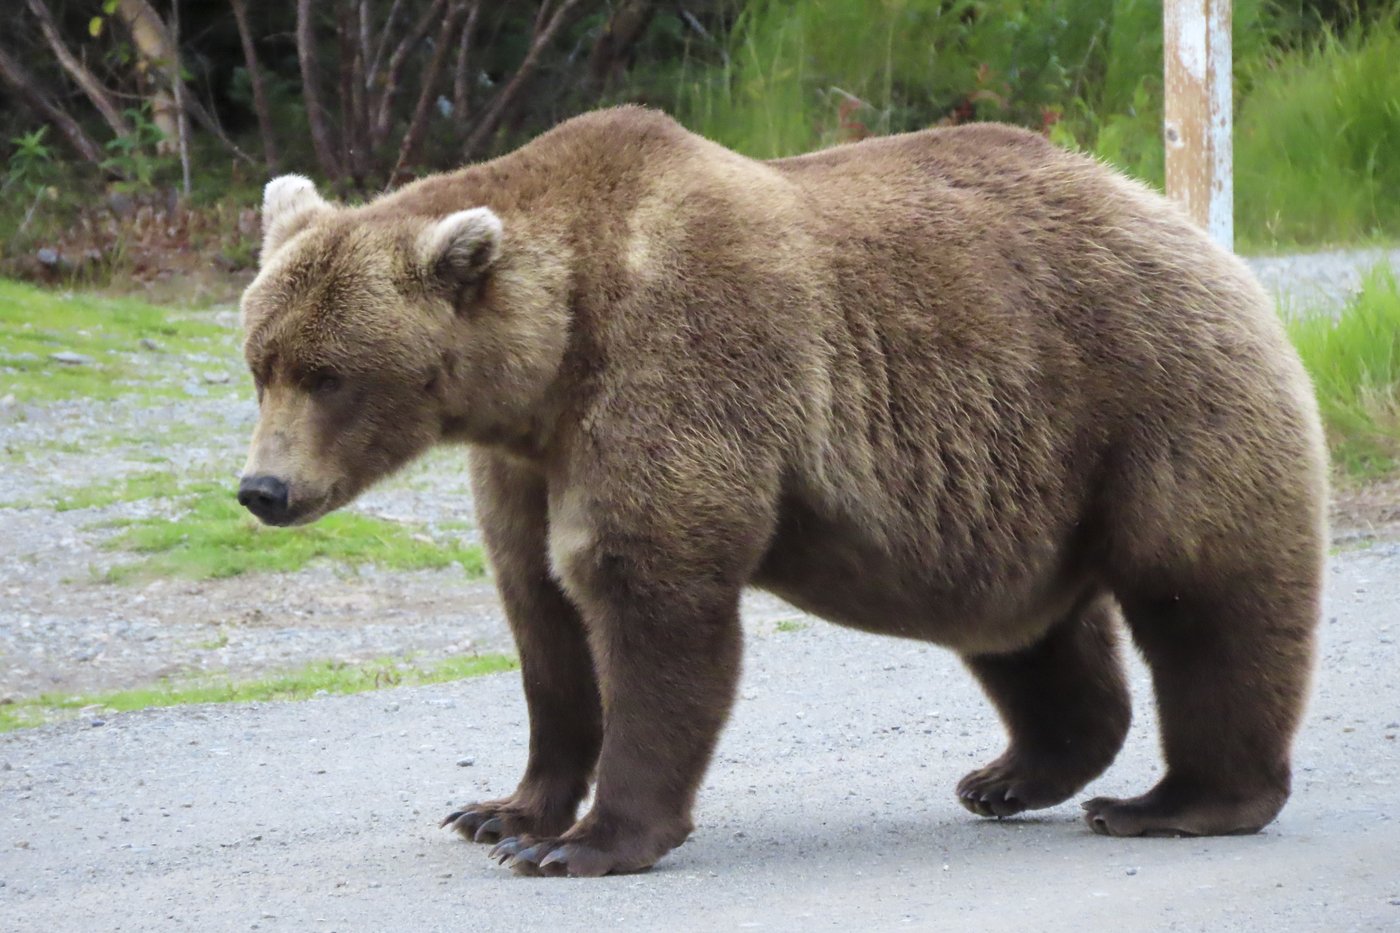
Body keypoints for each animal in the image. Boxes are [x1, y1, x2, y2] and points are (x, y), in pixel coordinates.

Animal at [237, 106, 1327, 878]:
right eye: (261, 363)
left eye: (330, 374)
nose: (262, 488)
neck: (548, 360)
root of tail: (1171, 213)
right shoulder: (524, 460)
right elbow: (541, 616)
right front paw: (499, 809)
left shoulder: (679, 365)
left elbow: (649, 597)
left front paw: (582, 841)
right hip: (1013, 483)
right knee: (1028, 629)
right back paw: (1010, 775)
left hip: (1149, 393)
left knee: (1205, 596)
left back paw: (1174, 802)